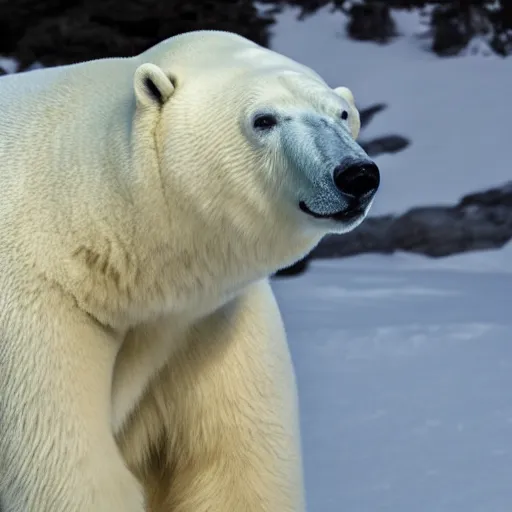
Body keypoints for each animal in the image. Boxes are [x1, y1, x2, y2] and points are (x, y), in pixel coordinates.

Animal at [0, 30, 380, 510]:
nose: (357, 174)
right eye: (264, 119)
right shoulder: (36, 311)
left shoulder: (207, 324)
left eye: (342, 112)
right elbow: (69, 475)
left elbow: (236, 468)